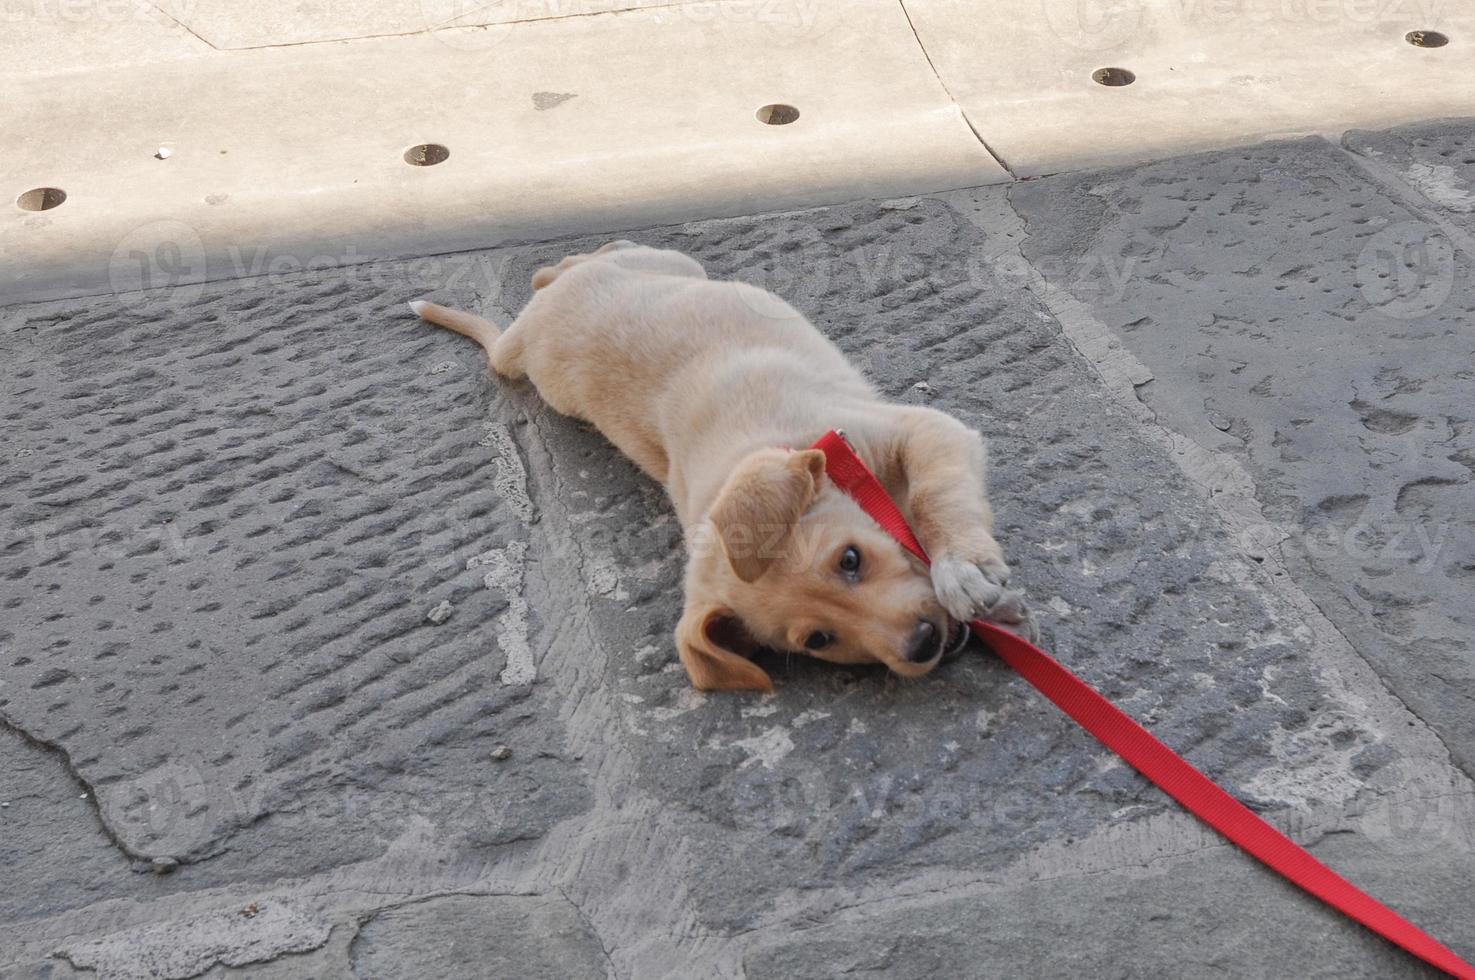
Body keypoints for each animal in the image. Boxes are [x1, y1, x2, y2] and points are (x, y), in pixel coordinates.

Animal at [410, 240, 1032, 693]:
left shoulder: (923, 430)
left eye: (850, 560)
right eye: (818, 640)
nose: (923, 643)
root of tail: (531, 325)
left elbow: (934, 497)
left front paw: (964, 569)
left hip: (667, 264)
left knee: (573, 259)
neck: (786, 447)